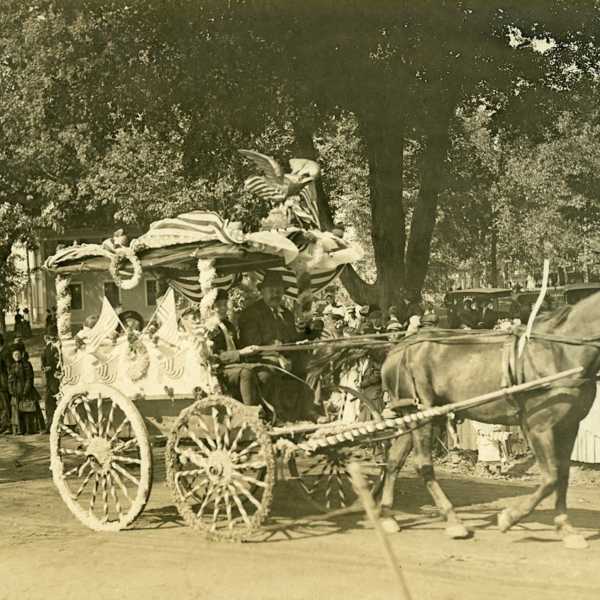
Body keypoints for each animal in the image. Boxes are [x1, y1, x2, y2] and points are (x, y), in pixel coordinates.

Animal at [380, 296, 600, 548]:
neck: (561, 351)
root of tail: (397, 349)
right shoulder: (538, 426)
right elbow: (551, 478)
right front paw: (509, 517)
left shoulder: (568, 426)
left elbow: (562, 475)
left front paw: (566, 529)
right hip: (423, 413)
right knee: (423, 464)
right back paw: (453, 520)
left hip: (414, 417)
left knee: (394, 460)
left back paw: (387, 515)